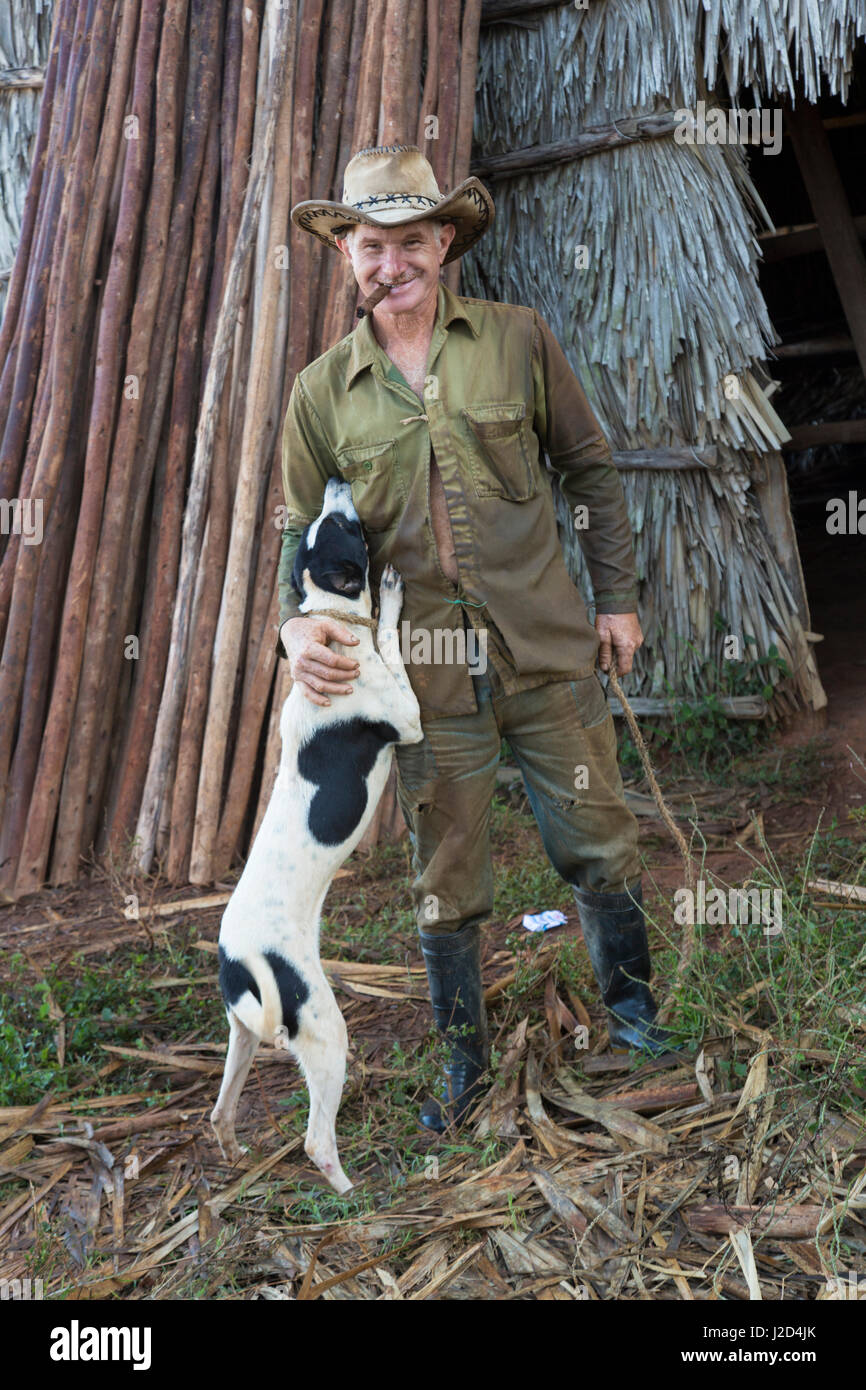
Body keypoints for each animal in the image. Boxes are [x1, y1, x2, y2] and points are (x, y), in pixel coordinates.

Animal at [214, 480, 422, 1195]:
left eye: (320, 528)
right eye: (344, 527)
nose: (337, 482)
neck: (333, 624)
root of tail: (235, 954)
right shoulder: (408, 718)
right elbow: (386, 637)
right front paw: (389, 597)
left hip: (243, 1034)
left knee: (221, 1110)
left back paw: (236, 1155)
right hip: (325, 1031)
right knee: (314, 1139)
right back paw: (355, 1194)